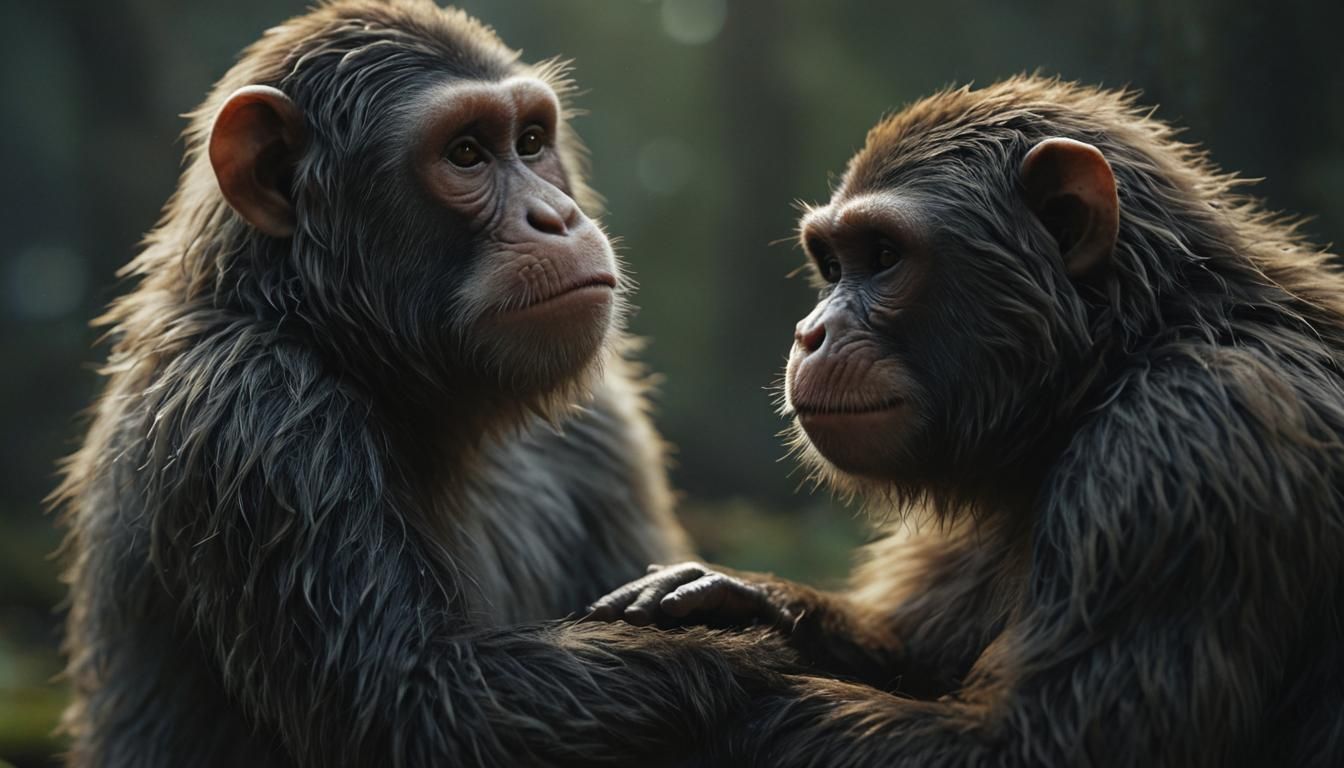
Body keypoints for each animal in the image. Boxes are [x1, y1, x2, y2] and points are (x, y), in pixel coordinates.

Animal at [51, 2, 800, 766]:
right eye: (465, 153)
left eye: (531, 142)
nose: (556, 215)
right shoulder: (255, 410)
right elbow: (423, 704)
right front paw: (753, 642)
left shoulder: (604, 425)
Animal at [589, 76, 1344, 767]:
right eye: (832, 264)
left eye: (883, 256)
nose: (812, 332)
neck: (1112, 359)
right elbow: (911, 647)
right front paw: (736, 598)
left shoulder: (1182, 451)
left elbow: (1015, 746)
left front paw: (669, 678)